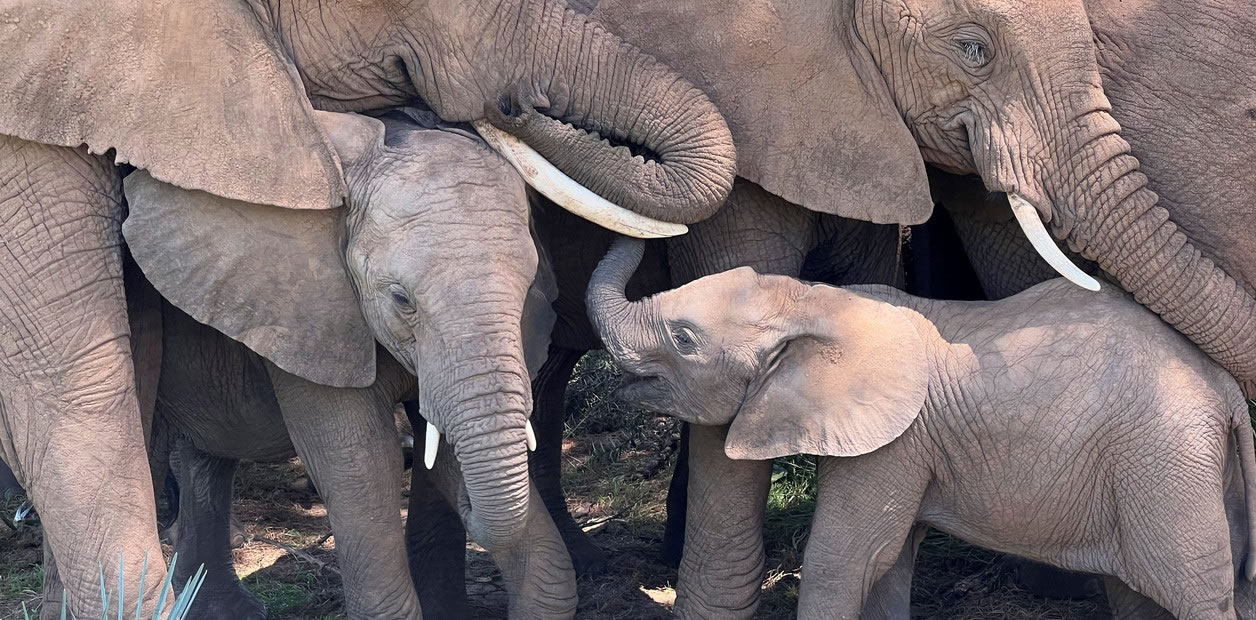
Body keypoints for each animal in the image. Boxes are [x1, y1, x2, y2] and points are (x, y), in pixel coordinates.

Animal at [587, 237, 1256, 620]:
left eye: (683, 339)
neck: (816, 301)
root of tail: (1223, 387)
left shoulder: (893, 444)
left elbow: (846, 560)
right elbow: (887, 566)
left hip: (1164, 463)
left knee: (1199, 592)